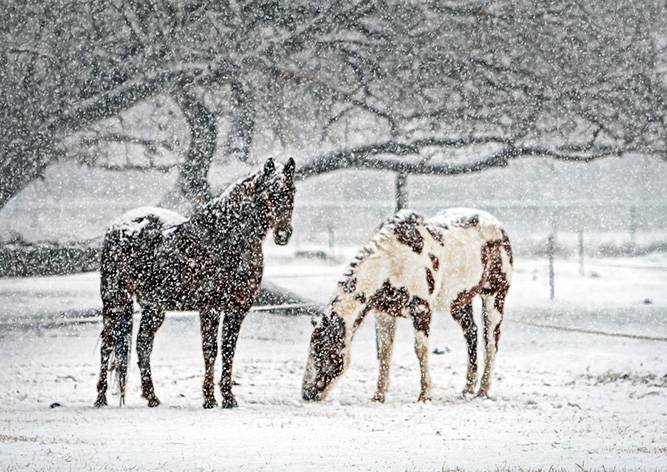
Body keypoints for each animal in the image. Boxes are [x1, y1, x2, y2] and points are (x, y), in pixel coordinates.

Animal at [95, 157, 296, 408]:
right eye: (269, 193)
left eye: (292, 191)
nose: (283, 234)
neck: (226, 239)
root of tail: (118, 226)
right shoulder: (210, 308)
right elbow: (210, 350)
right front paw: (209, 398)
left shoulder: (237, 309)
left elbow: (228, 350)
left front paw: (228, 397)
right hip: (115, 300)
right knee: (107, 343)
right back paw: (100, 398)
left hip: (154, 308)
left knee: (143, 345)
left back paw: (152, 397)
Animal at [306, 208, 516, 404]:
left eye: (324, 351)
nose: (306, 394)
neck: (392, 262)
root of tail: (498, 226)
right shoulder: (384, 314)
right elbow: (385, 352)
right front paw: (378, 396)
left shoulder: (421, 312)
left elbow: (420, 350)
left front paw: (425, 396)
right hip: (459, 302)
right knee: (471, 333)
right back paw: (467, 389)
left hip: (494, 296)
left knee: (491, 341)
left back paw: (483, 392)